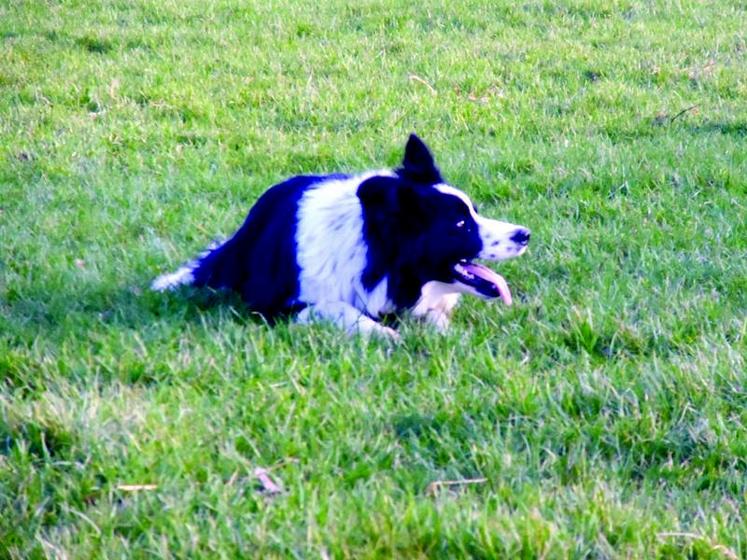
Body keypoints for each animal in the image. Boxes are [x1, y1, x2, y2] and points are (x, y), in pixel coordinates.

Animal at [152, 135, 528, 336]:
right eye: (461, 224)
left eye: (475, 211)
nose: (525, 234)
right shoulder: (276, 307)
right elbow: (336, 308)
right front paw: (386, 334)